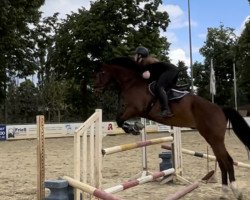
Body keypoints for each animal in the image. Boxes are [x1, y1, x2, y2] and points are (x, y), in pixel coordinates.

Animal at [94, 56, 250, 200]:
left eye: (101, 72)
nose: (96, 89)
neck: (132, 82)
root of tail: (220, 109)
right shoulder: (133, 110)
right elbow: (119, 119)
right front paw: (135, 126)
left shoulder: (135, 109)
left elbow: (119, 120)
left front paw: (133, 128)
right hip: (210, 138)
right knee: (222, 162)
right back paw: (224, 192)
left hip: (215, 138)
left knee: (227, 160)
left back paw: (236, 191)